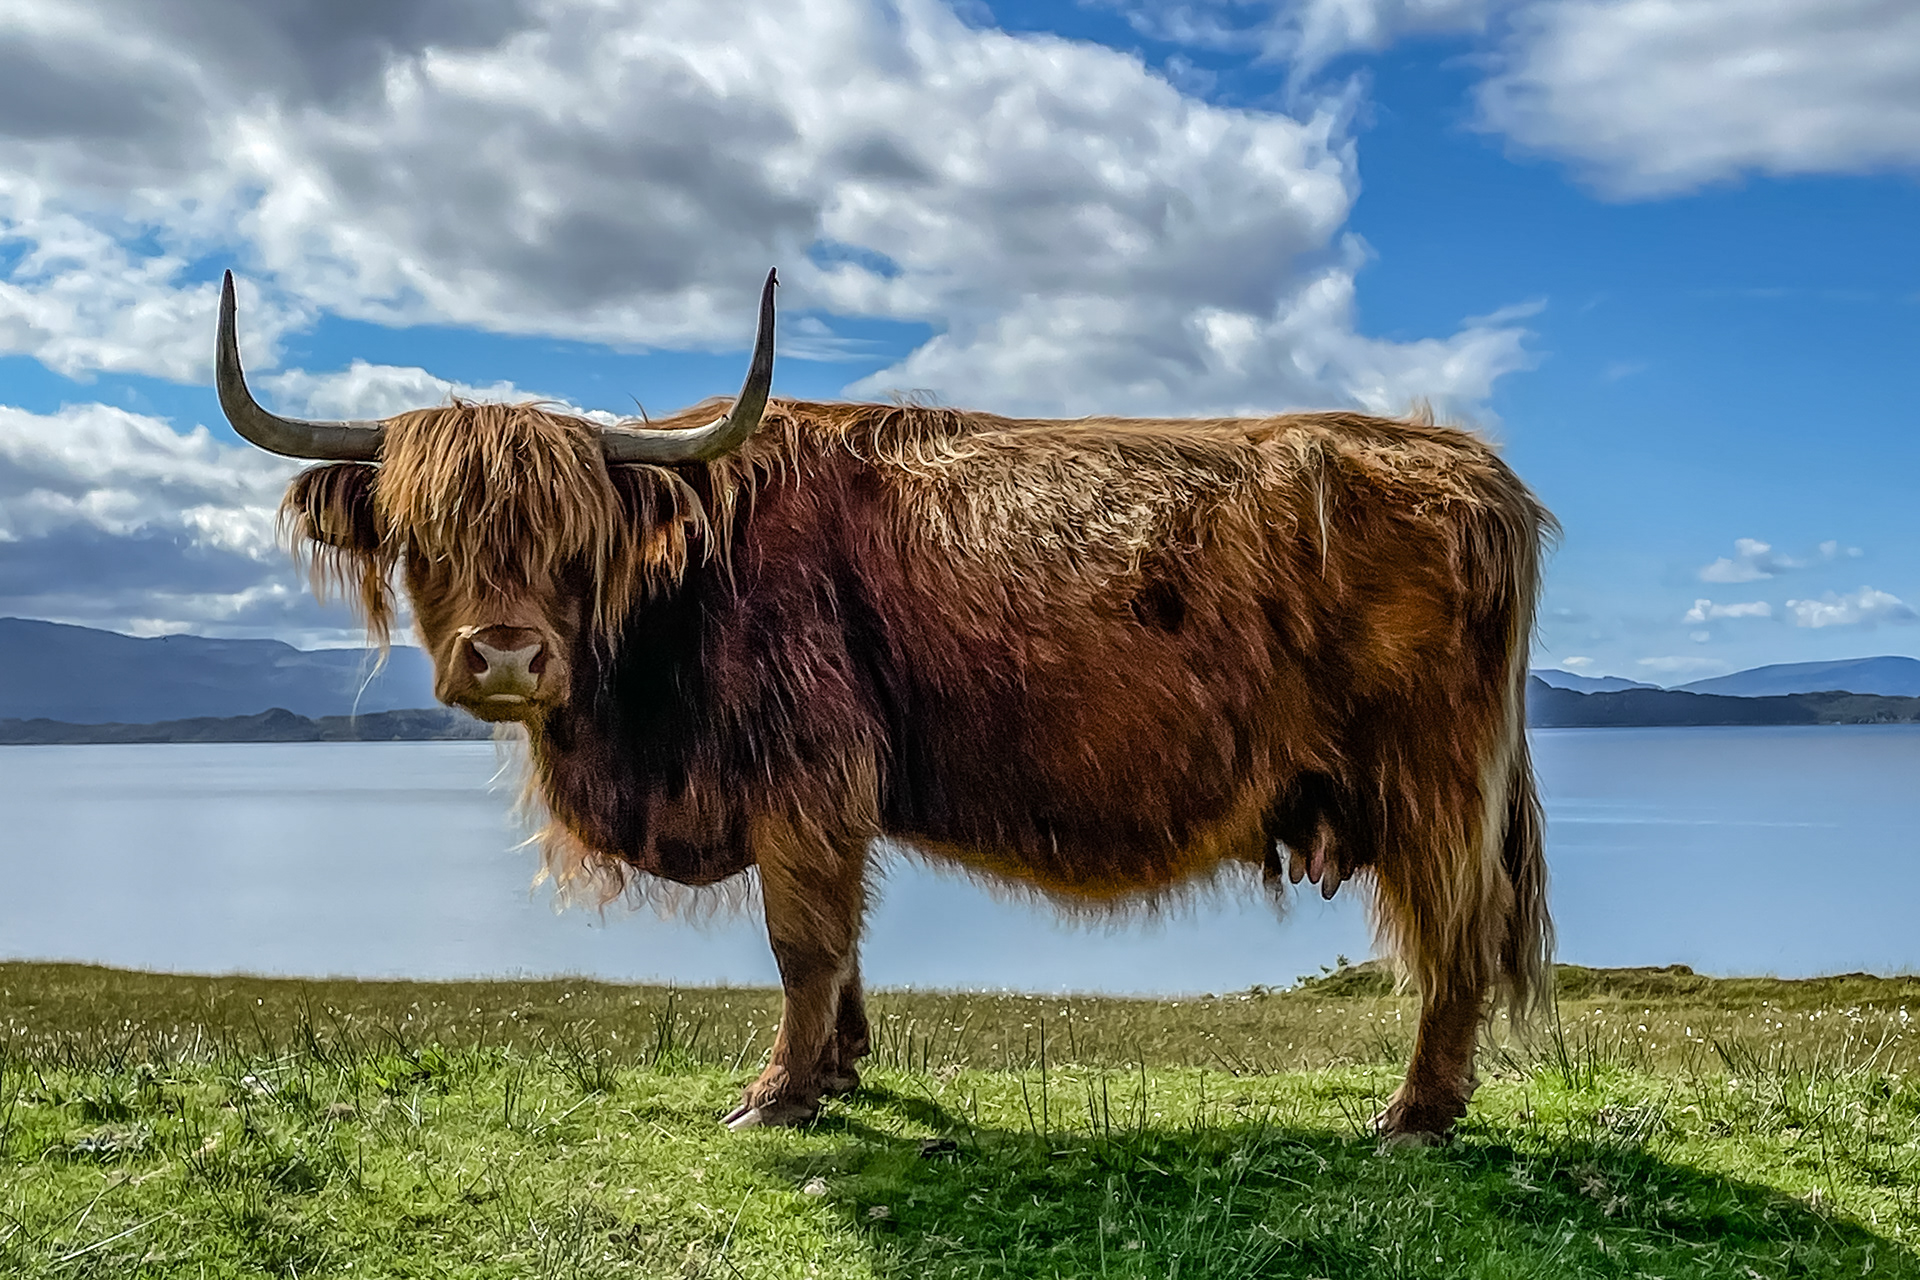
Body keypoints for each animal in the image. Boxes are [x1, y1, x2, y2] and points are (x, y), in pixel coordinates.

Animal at [214, 268, 1554, 1139]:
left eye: (574, 540)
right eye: (424, 535)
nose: (504, 657)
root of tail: (1466, 462)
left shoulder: (805, 777)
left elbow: (803, 940)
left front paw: (776, 1094)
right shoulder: (824, 796)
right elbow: (843, 939)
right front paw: (843, 1072)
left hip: (1434, 785)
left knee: (1453, 939)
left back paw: (1414, 1113)